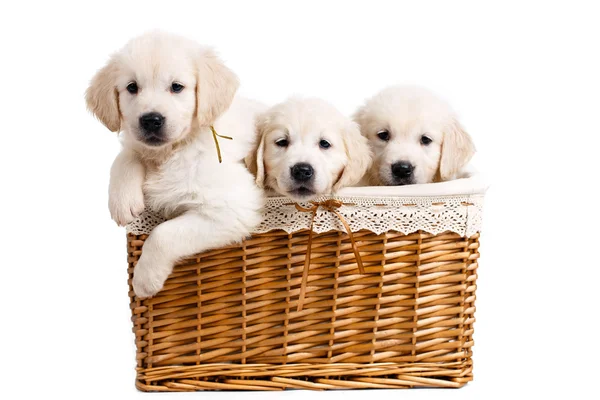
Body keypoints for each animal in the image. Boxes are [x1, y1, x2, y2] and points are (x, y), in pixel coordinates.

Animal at [85, 32, 264, 296]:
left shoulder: (230, 210)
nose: (151, 120)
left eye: (177, 87)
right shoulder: (137, 147)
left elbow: (162, 234)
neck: (174, 152)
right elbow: (126, 155)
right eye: (132, 87)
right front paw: (123, 200)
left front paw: (144, 279)